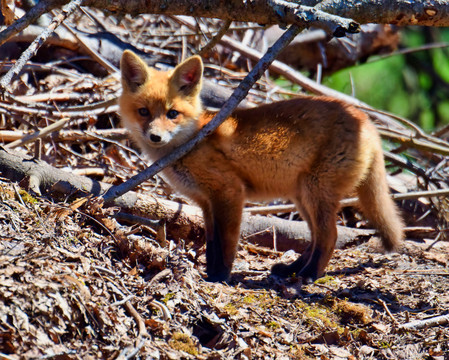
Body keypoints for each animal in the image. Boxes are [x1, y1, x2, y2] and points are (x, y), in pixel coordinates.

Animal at [118, 50, 402, 282]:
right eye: (143, 112)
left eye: (172, 114)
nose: (155, 137)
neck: (194, 139)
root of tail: (364, 118)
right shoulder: (206, 203)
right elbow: (212, 244)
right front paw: (210, 273)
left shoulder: (230, 192)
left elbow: (226, 244)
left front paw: (220, 277)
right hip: (302, 196)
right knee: (314, 239)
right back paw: (293, 270)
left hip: (315, 193)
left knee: (329, 236)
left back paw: (310, 275)